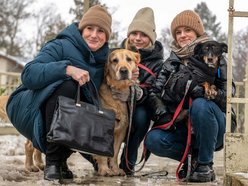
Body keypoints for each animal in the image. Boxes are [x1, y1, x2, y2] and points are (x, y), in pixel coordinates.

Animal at [93, 48, 140, 176]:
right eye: (115, 60)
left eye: (129, 59)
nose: (123, 71)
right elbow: (102, 153)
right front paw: (105, 169)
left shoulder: (121, 129)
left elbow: (114, 152)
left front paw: (115, 169)